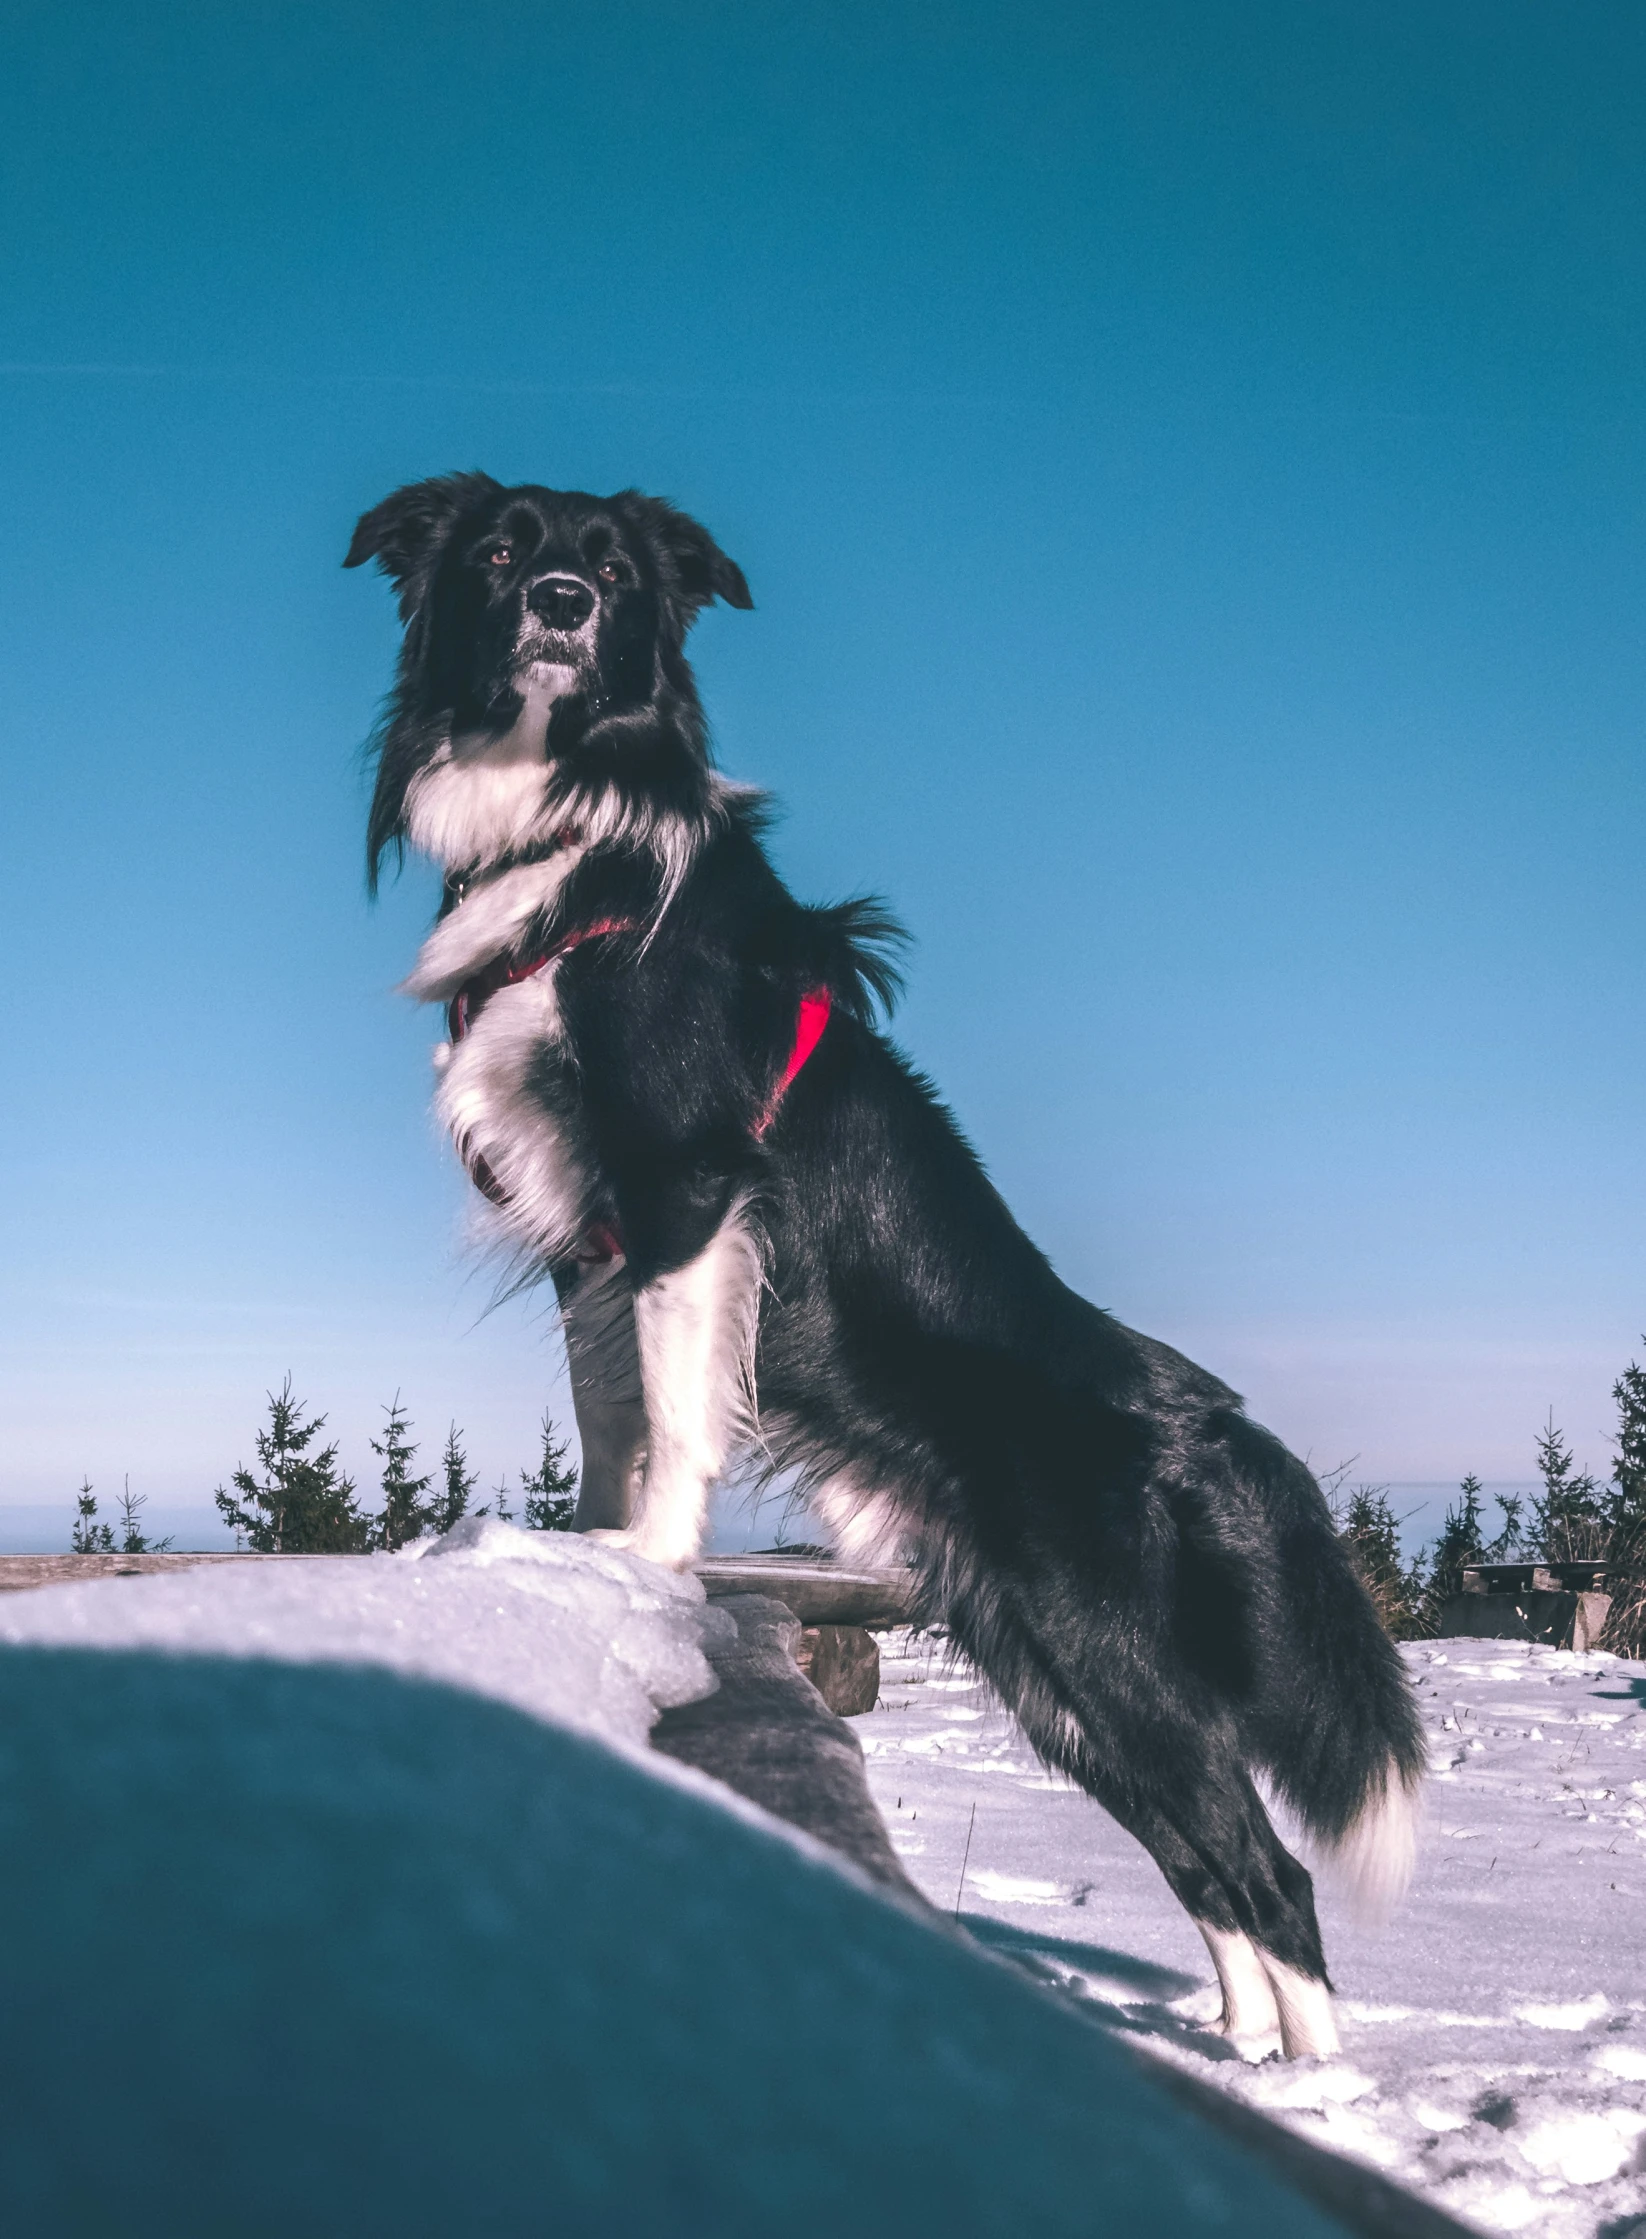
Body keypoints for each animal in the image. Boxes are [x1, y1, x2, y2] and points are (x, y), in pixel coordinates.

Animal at [347, 476, 1433, 2059]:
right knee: (1204, 1860)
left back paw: (1314, 2087)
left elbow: (670, 1412)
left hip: (1111, 1660)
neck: (571, 828)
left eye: (612, 572)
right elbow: (609, 1410)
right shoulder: (586, 1239)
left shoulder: (684, 1185)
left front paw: (644, 1563)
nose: (559, 602)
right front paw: (575, 1553)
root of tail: (1197, 1419)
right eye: (497, 553)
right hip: (1053, 1676)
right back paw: (1238, 2049)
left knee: (1268, 1866)